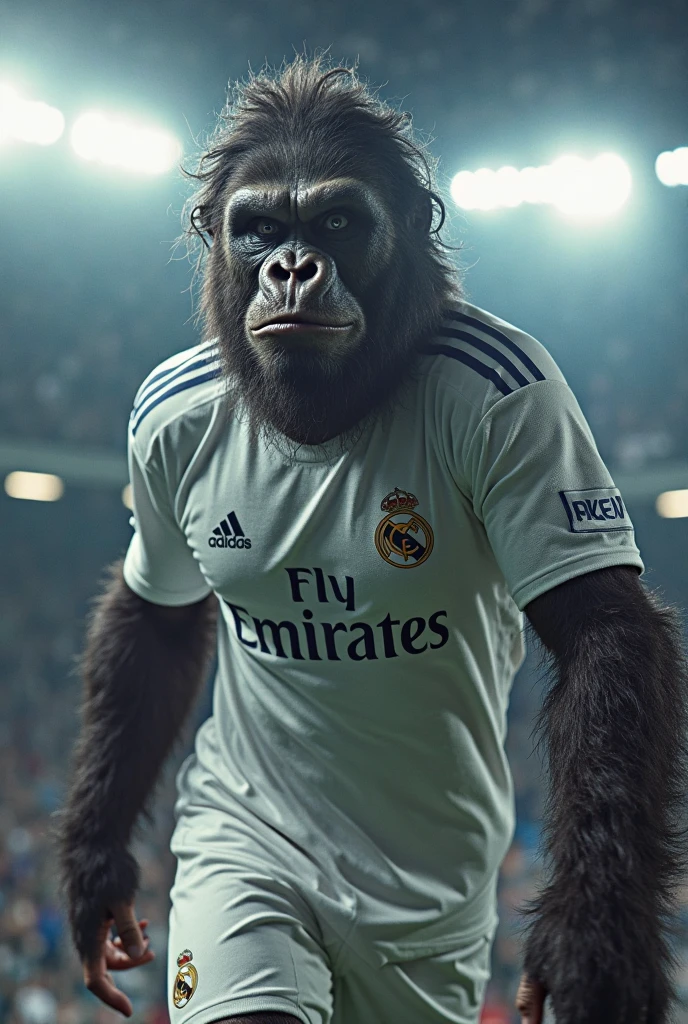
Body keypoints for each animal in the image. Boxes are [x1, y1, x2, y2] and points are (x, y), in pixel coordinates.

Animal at [52, 56, 688, 1024]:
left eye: (340, 222)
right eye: (259, 226)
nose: (291, 266)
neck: (322, 416)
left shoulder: (524, 402)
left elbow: (599, 628)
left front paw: (595, 942)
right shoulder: (153, 425)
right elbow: (156, 619)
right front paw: (95, 881)